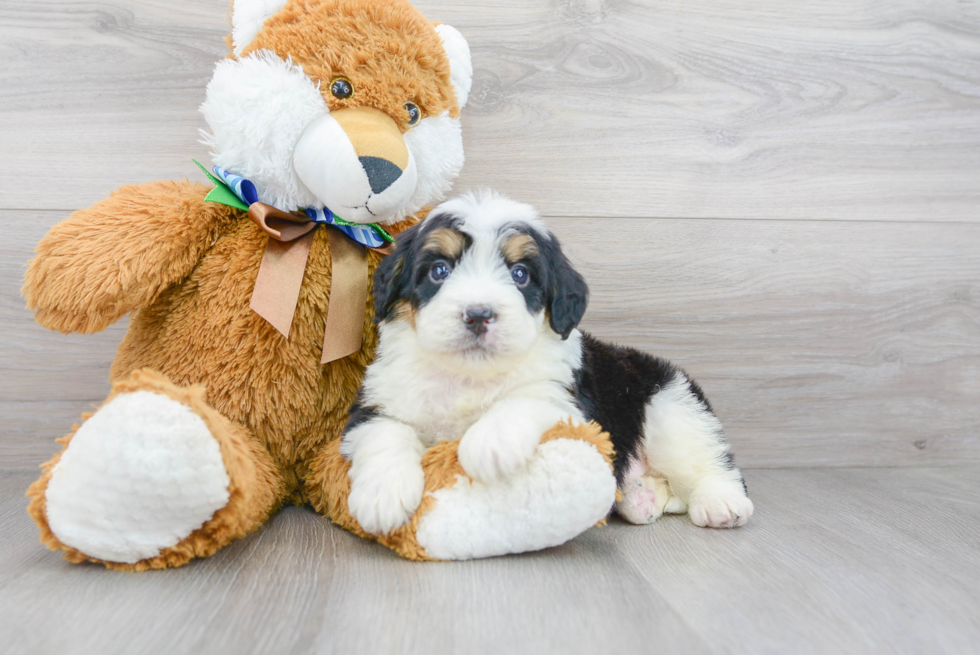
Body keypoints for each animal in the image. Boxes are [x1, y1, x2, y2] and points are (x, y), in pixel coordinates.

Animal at [340, 191, 756, 540]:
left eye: (520, 274)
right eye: (439, 270)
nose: (478, 314)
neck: (470, 375)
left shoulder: (569, 400)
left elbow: (526, 399)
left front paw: (489, 444)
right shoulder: (377, 402)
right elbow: (385, 434)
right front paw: (381, 497)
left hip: (671, 408)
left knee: (707, 460)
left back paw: (721, 503)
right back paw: (639, 498)